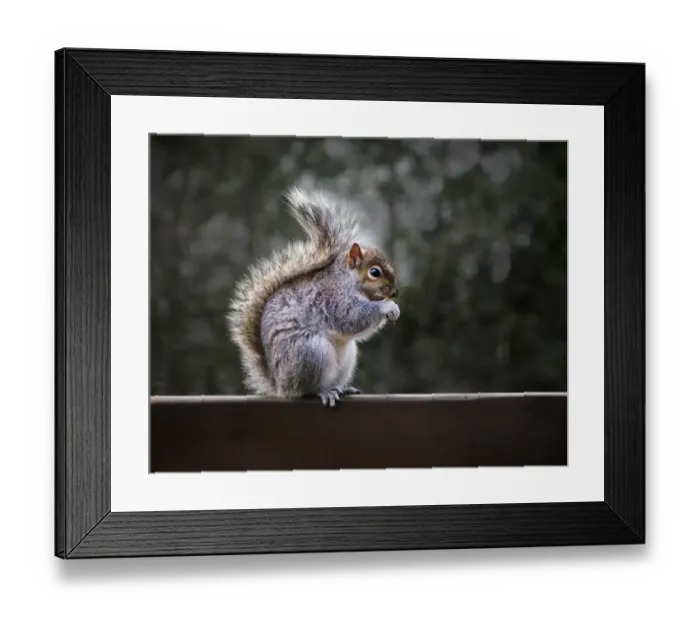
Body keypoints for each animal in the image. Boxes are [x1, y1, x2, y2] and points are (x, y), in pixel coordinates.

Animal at [226, 187, 400, 407]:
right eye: (374, 272)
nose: (394, 292)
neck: (346, 280)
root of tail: (280, 385)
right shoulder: (331, 298)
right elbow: (351, 317)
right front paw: (387, 307)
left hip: (345, 358)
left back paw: (342, 389)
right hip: (311, 353)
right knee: (305, 390)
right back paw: (323, 392)